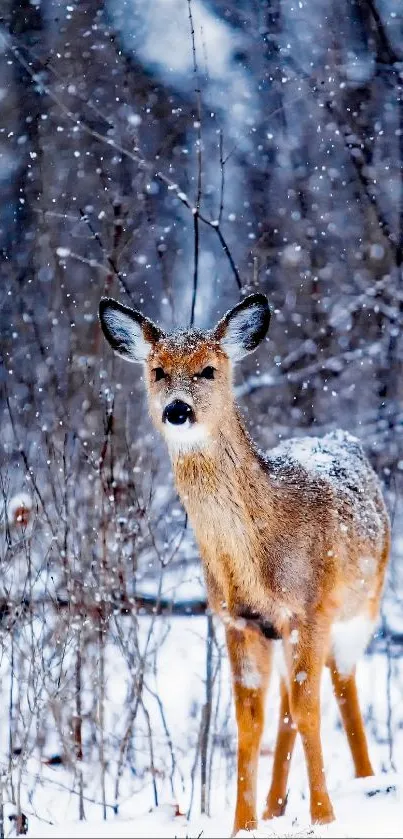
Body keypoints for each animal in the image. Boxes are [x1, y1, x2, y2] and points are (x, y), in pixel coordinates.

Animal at [98, 294, 392, 832]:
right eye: (157, 371)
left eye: (209, 369)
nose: (177, 409)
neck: (258, 558)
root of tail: (342, 437)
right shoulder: (238, 621)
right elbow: (250, 722)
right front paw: (244, 825)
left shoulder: (310, 609)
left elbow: (310, 710)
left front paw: (324, 818)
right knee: (286, 705)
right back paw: (276, 805)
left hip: (363, 604)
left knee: (341, 685)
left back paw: (365, 779)